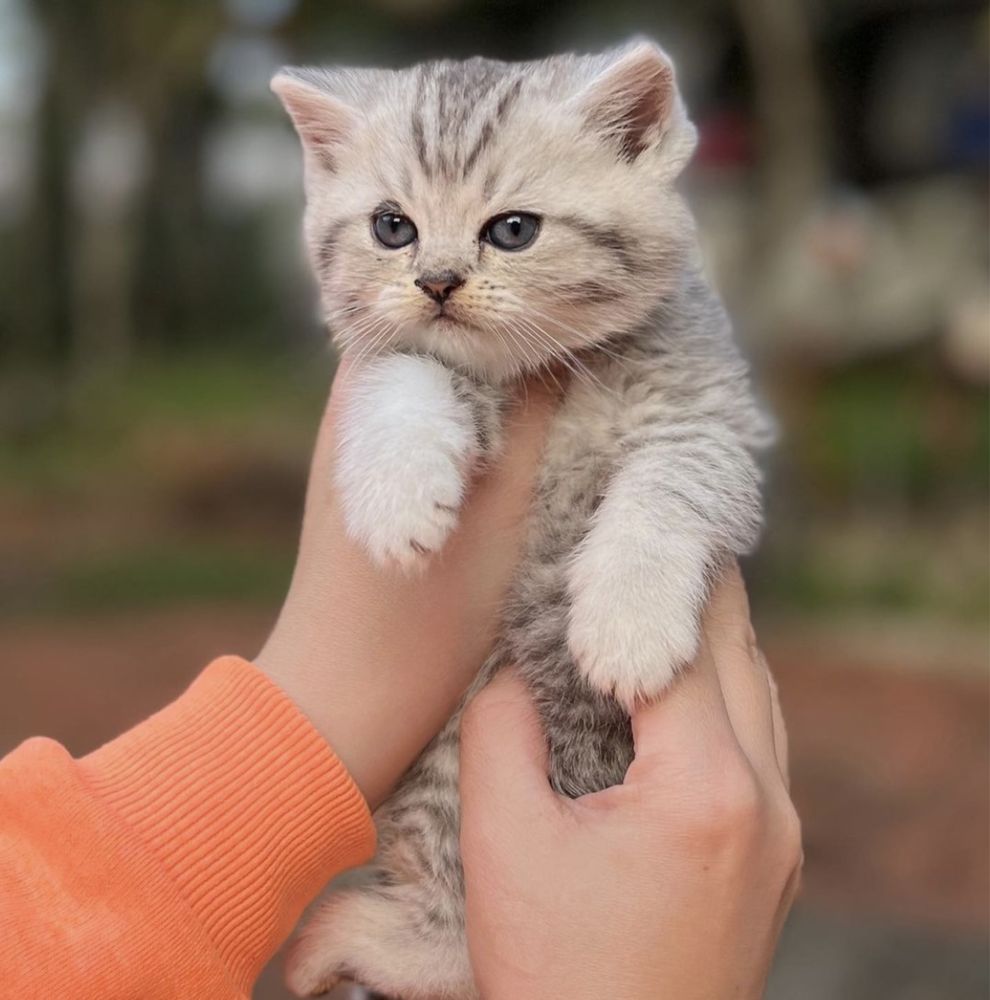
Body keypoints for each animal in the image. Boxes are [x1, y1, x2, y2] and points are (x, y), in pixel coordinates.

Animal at [276, 43, 772, 996]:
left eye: (512, 230)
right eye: (392, 228)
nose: (436, 281)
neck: (545, 375)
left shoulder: (714, 421)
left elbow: (670, 486)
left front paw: (627, 620)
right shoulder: (394, 358)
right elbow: (404, 370)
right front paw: (398, 489)